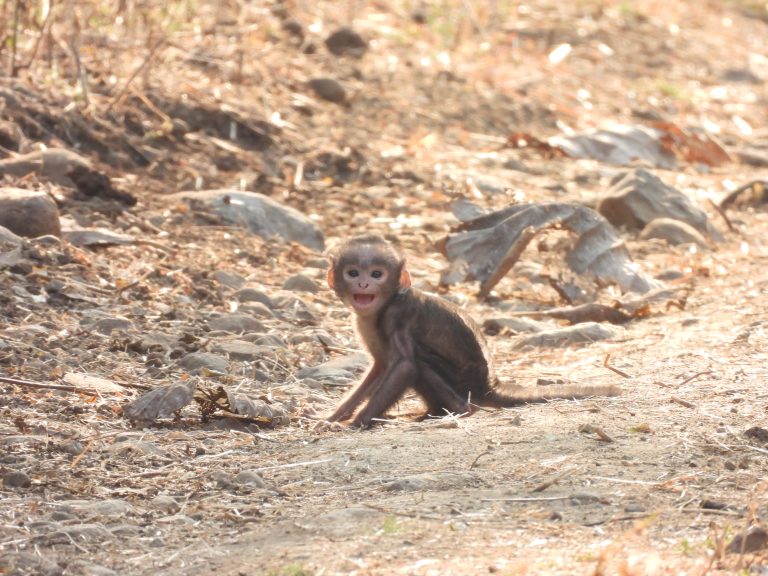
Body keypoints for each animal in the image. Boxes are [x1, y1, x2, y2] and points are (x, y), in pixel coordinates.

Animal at [324, 234, 616, 428]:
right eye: (353, 273)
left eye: (376, 274)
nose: (363, 283)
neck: (385, 305)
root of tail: (489, 386)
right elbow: (381, 367)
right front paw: (335, 416)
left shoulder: (399, 313)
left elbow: (404, 365)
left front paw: (356, 422)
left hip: (464, 383)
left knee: (421, 363)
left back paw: (457, 410)